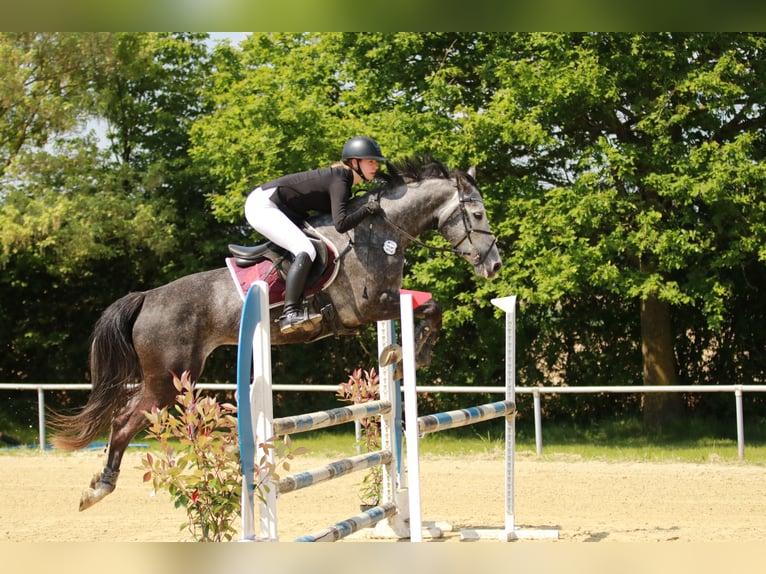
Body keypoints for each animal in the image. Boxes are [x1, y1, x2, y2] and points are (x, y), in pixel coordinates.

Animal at [50, 155, 503, 511]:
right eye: (478, 215)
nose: (494, 265)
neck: (380, 231)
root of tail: (146, 297)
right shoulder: (368, 307)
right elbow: (431, 306)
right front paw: (415, 355)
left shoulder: (385, 302)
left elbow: (429, 305)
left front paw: (404, 353)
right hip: (168, 379)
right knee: (125, 421)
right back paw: (99, 488)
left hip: (166, 378)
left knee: (125, 417)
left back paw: (98, 484)